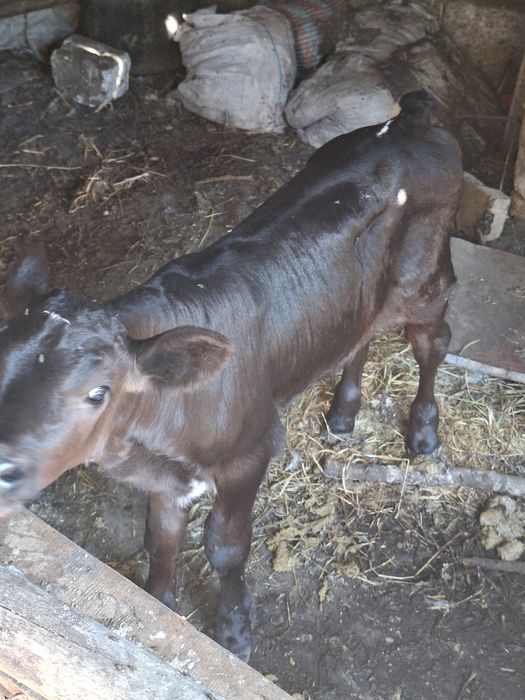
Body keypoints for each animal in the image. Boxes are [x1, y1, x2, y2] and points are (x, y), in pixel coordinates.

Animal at [0, 91, 462, 661]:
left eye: (98, 392)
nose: (3, 465)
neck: (152, 439)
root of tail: (408, 120)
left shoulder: (251, 451)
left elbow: (225, 546)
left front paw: (234, 629)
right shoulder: (167, 479)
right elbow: (160, 541)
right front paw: (160, 605)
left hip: (426, 286)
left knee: (432, 345)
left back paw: (422, 430)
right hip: (357, 299)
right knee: (359, 336)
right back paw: (343, 411)